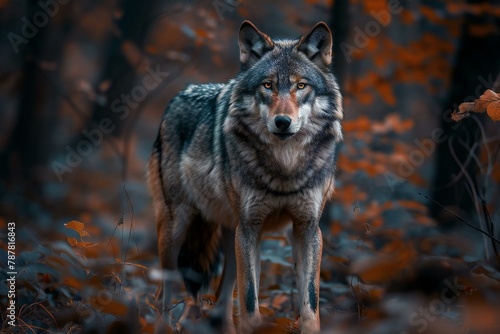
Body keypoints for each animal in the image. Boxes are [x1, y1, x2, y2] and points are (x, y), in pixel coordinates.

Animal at [147, 19, 344, 332]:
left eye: (301, 85)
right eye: (268, 85)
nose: (282, 122)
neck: (285, 166)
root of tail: (178, 96)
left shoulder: (307, 228)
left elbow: (310, 304)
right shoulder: (251, 227)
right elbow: (251, 302)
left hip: (232, 237)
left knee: (221, 300)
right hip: (178, 232)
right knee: (161, 297)